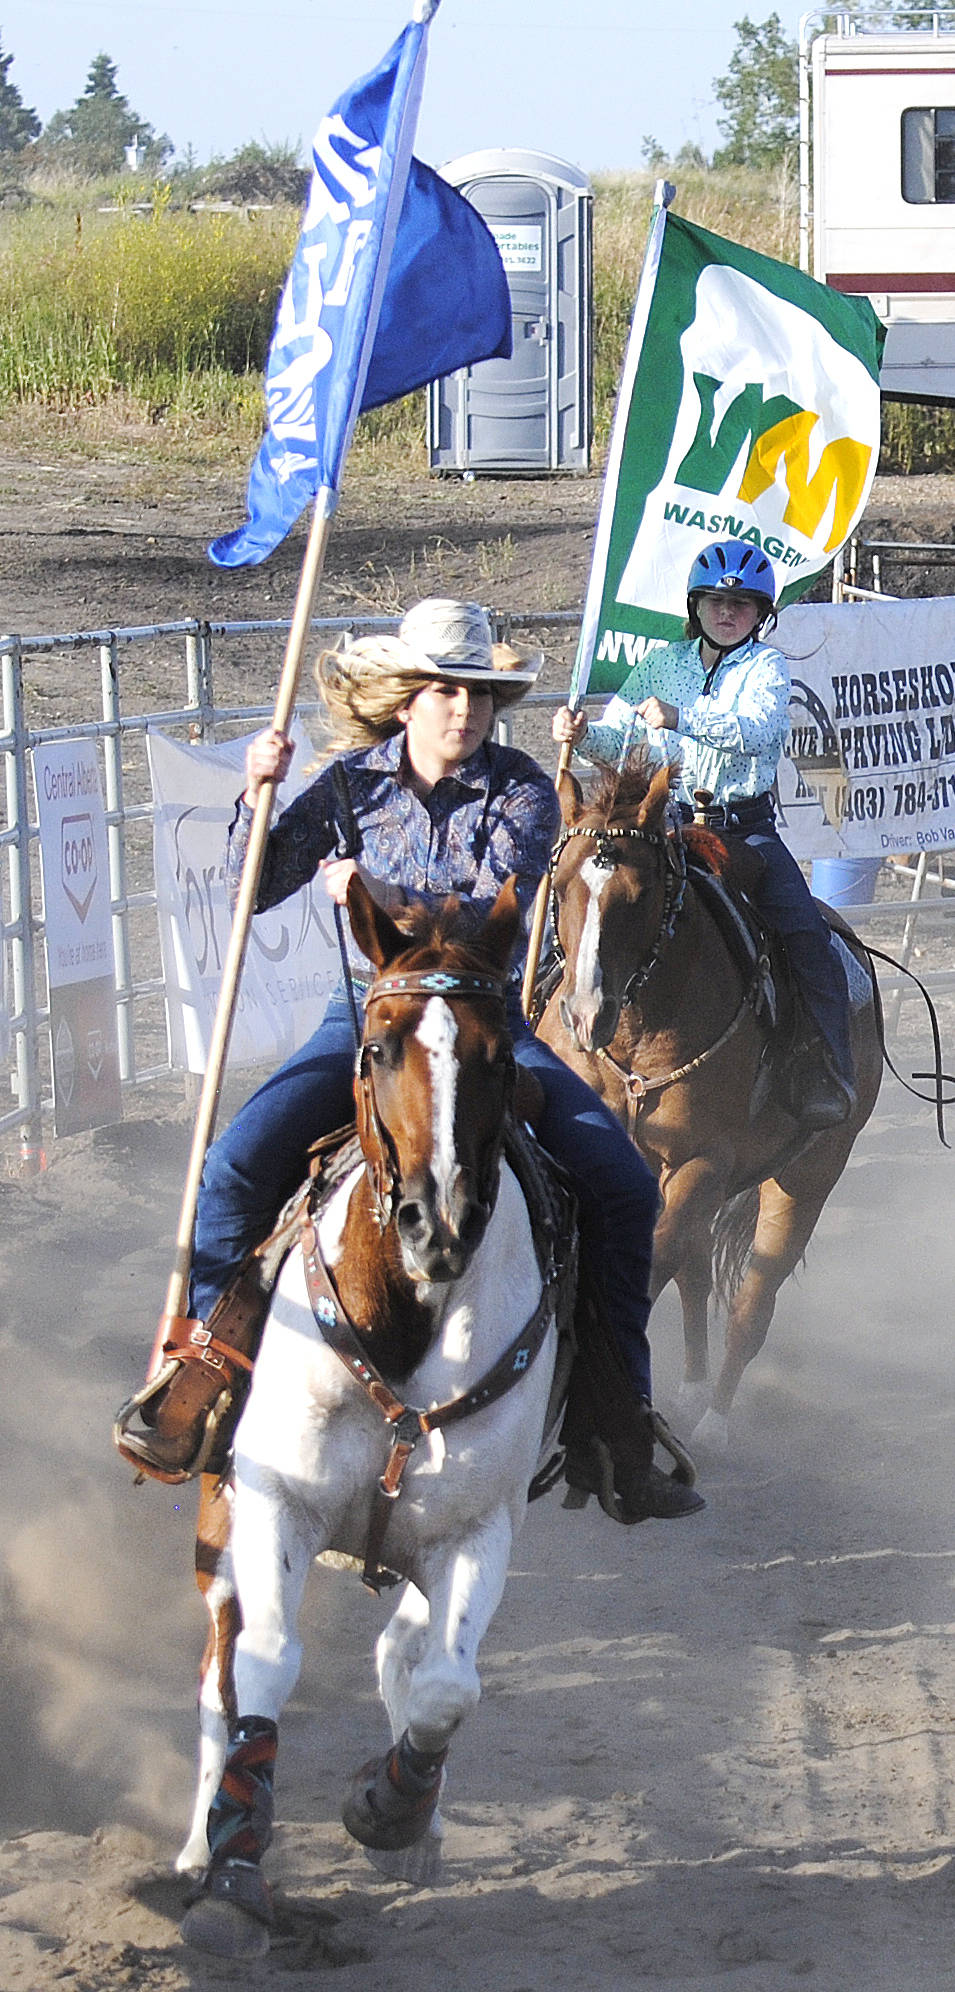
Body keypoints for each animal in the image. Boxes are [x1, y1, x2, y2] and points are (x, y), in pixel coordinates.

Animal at [178, 876, 562, 1960]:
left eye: (498, 1054)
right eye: (381, 1046)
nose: (439, 1223)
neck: (405, 1318)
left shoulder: (478, 1529)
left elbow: (444, 1685)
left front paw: (391, 1807)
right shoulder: (277, 1505)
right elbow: (262, 1667)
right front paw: (233, 1872)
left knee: (411, 1652)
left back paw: (415, 1825)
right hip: (222, 1515)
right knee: (218, 1670)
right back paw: (194, 1846)